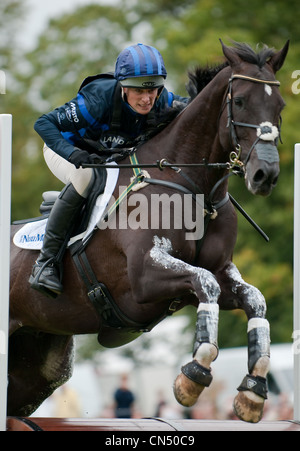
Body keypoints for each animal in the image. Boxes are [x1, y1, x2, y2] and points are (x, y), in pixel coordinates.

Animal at [7, 41, 288, 424]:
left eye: (280, 106)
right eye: (241, 101)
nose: (265, 175)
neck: (192, 186)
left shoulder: (218, 271)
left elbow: (252, 298)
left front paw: (253, 392)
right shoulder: (144, 276)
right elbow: (205, 284)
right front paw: (193, 376)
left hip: (38, 360)